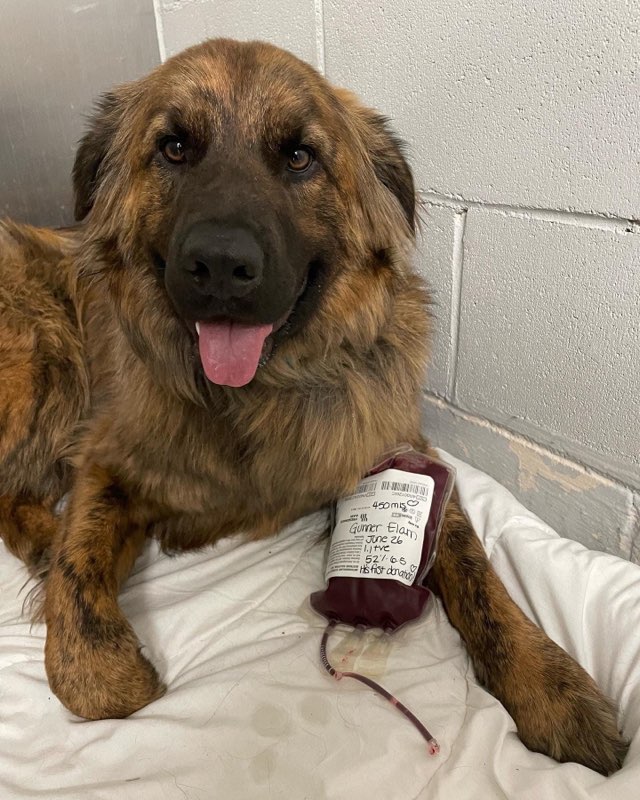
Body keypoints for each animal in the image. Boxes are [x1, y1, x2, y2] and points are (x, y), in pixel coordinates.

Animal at [0, 39, 632, 776]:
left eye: (300, 156)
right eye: (175, 147)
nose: (221, 265)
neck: (251, 399)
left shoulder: (397, 447)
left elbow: (482, 579)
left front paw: (552, 686)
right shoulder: (106, 455)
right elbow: (84, 621)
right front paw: (102, 660)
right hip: (42, 361)